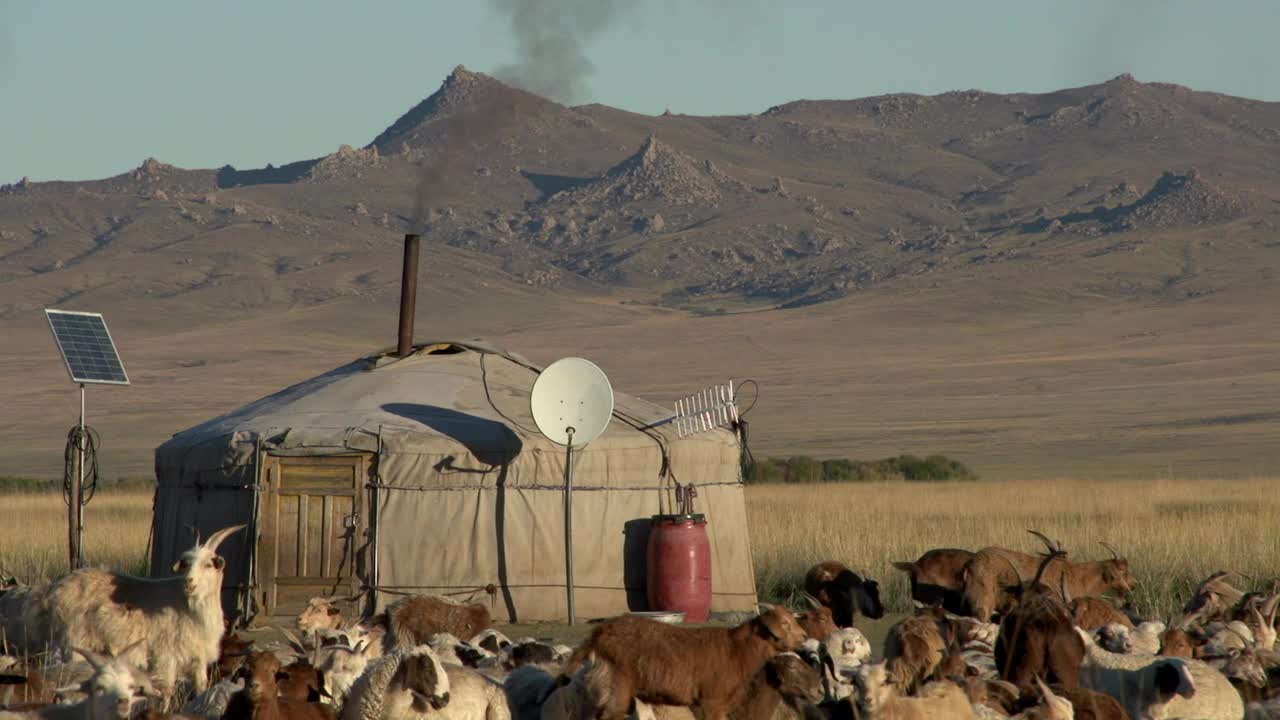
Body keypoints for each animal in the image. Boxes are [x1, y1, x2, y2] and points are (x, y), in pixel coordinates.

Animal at [42, 524, 245, 701]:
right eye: (186, 564)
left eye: (208, 564)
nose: (189, 582)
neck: (188, 607)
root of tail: (55, 590)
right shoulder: (166, 655)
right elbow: (166, 692)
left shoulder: (198, 658)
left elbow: (201, 686)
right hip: (73, 642)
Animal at [558, 606, 806, 720]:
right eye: (784, 623)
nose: (804, 637)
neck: (736, 650)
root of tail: (598, 635)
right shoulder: (712, 700)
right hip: (616, 687)